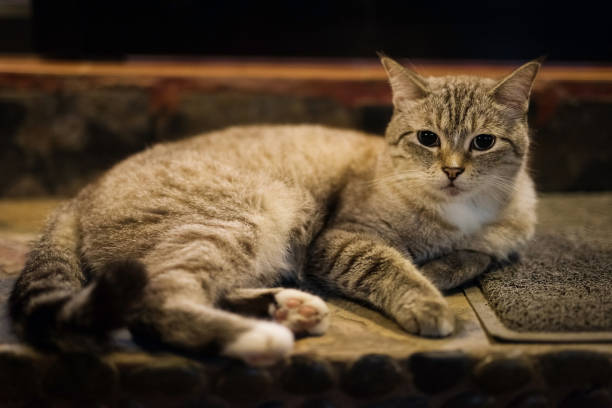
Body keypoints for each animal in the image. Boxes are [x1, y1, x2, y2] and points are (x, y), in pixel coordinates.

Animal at [7, 55, 536, 364]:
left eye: (483, 142)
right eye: (428, 138)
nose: (452, 171)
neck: (460, 212)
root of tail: (81, 193)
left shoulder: (500, 241)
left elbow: (476, 255)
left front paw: (443, 268)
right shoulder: (339, 241)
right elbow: (391, 266)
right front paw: (428, 300)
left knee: (209, 288)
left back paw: (290, 310)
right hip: (242, 219)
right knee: (156, 300)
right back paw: (262, 337)